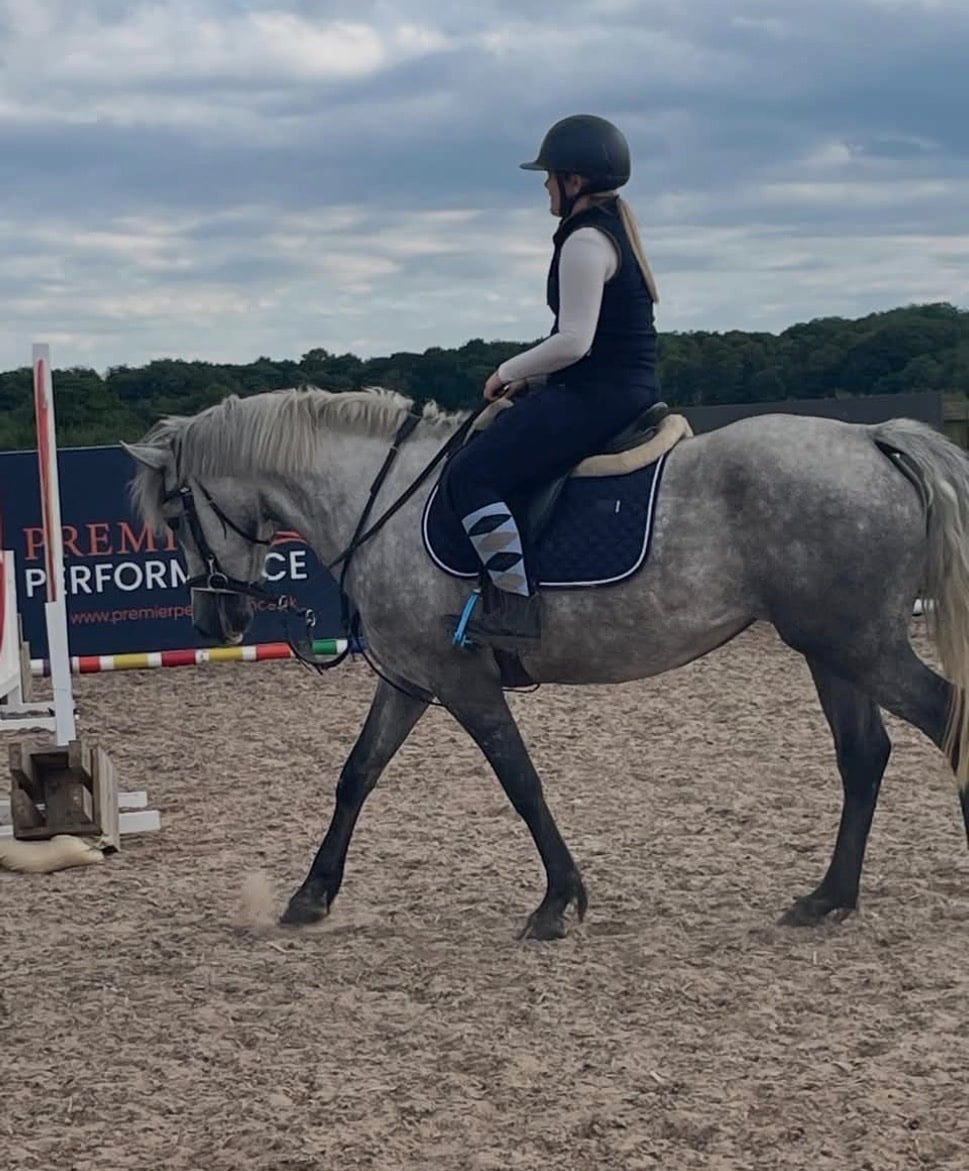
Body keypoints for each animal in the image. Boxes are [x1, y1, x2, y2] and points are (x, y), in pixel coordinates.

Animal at [123, 384, 969, 941]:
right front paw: (309, 896)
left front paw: (558, 901)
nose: (213, 618)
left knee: (943, 723)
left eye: (177, 514)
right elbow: (356, 774)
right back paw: (826, 897)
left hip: (855, 644)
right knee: (864, 754)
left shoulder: (461, 680)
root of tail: (870, 437)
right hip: (829, 648)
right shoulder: (411, 678)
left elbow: (519, 781)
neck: (381, 502)